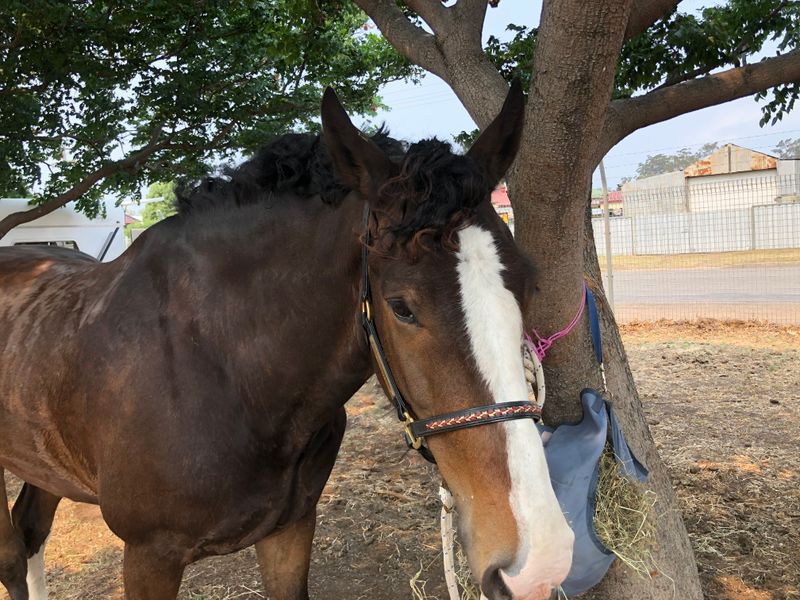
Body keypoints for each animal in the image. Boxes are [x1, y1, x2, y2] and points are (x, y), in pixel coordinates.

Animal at [0, 82, 574, 600]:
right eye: (402, 306)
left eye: (529, 283)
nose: (538, 562)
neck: (223, 370)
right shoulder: (148, 556)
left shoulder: (291, 530)